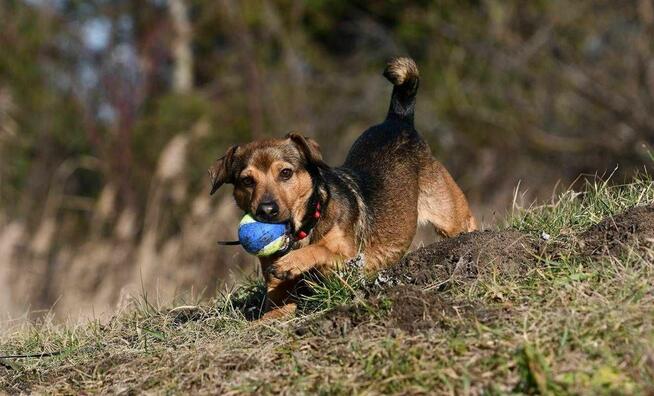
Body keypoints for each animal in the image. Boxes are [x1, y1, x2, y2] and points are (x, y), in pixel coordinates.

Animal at [210, 56, 476, 318]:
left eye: (285, 173)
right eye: (247, 181)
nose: (266, 210)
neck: (306, 226)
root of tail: (398, 120)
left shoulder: (350, 263)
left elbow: (321, 250)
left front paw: (292, 261)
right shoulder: (278, 300)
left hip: (450, 216)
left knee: (467, 223)